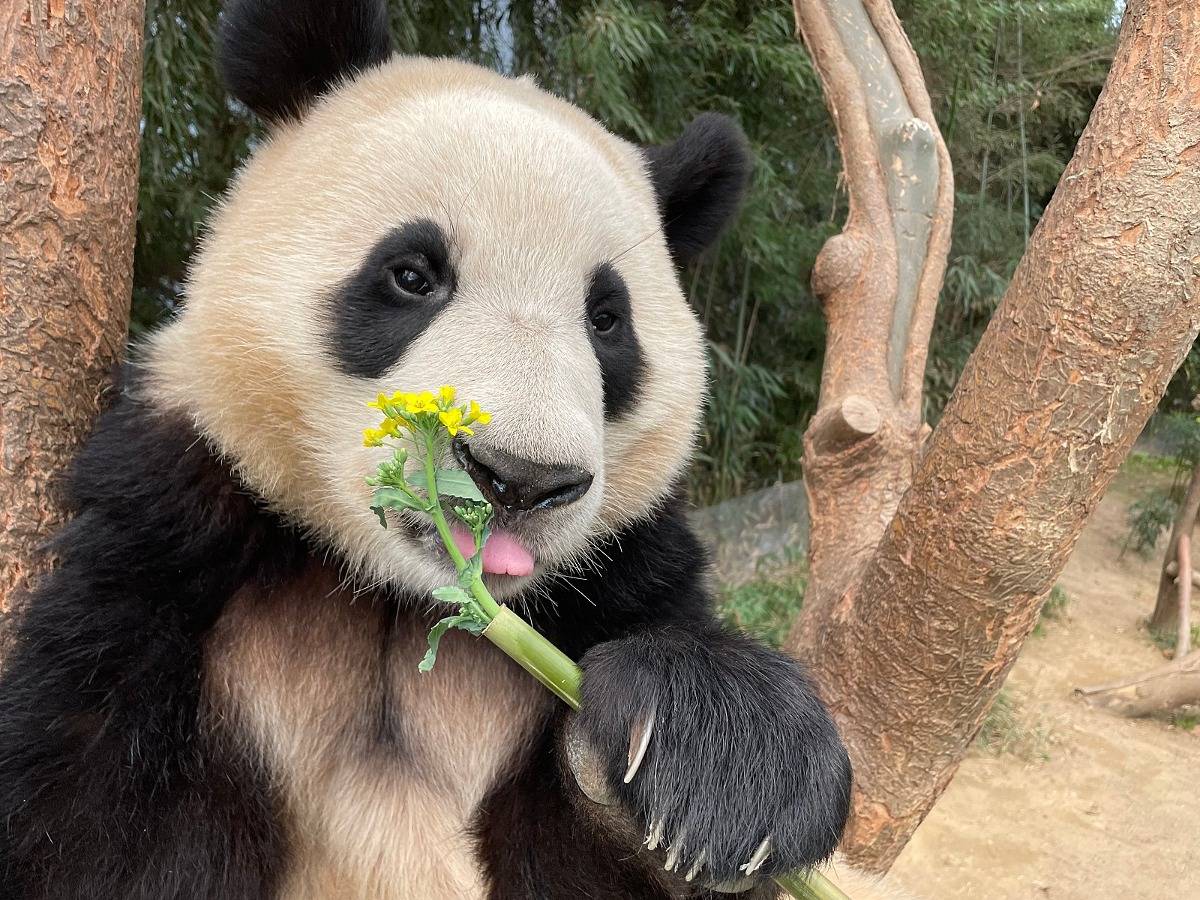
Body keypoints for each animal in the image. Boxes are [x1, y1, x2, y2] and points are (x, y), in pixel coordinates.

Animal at [0, 1, 907, 900]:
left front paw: (718, 758)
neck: (402, 599)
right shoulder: (174, 544)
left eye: (606, 320)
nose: (520, 481)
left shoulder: (614, 577)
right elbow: (91, 838)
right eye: (412, 274)